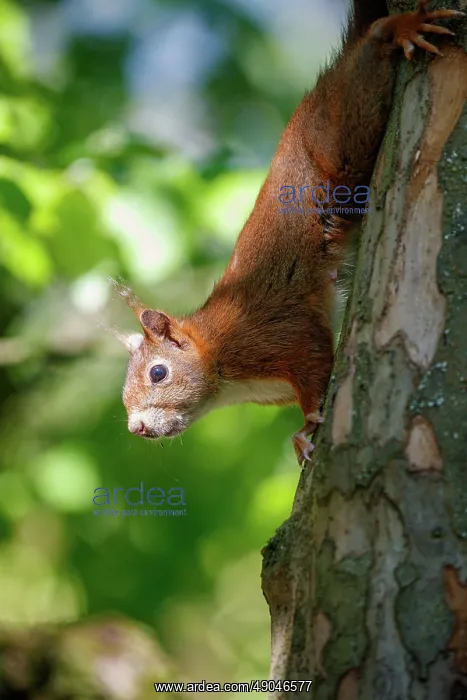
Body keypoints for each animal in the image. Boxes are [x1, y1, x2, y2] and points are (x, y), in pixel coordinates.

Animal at [113, 0, 463, 465]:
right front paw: (299, 437)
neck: (218, 359)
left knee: (369, 57)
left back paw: (398, 28)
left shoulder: (274, 335)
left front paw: (306, 426)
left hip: (340, 143)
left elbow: (314, 361)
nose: (135, 427)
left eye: (158, 372)